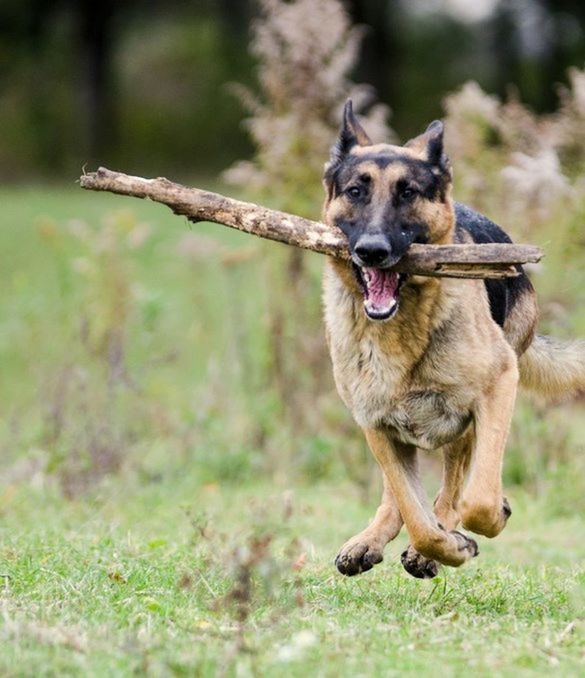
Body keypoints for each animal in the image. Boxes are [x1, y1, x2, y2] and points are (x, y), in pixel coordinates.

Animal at [322, 101, 584, 580]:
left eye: (408, 193)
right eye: (354, 191)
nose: (372, 250)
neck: (402, 327)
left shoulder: (497, 388)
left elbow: (476, 500)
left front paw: (465, 534)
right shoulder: (374, 422)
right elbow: (415, 513)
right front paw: (441, 544)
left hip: (471, 413)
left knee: (458, 475)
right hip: (389, 428)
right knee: (400, 492)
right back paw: (375, 537)